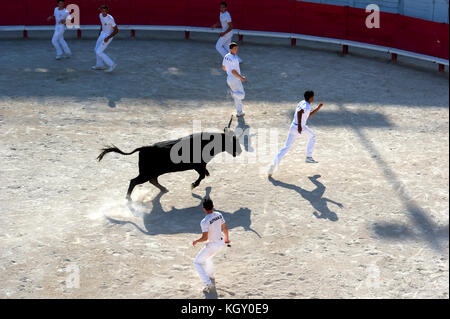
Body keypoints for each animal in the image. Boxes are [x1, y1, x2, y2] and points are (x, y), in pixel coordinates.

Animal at [96, 120, 241, 200]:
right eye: (233, 142)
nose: (240, 151)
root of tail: (144, 148)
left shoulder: (200, 166)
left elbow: (204, 174)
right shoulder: (198, 166)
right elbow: (201, 177)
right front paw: (193, 185)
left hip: (152, 172)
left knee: (153, 180)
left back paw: (164, 189)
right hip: (146, 173)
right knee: (134, 181)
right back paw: (128, 199)